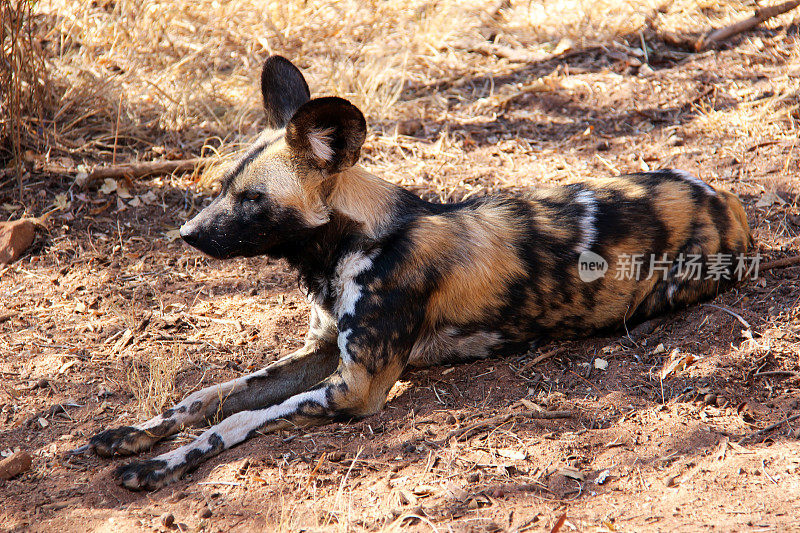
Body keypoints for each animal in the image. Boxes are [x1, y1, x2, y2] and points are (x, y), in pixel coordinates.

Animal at [87, 55, 756, 490]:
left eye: (253, 199)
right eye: (224, 186)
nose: (187, 234)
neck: (351, 245)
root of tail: (724, 197)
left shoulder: (353, 388)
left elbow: (236, 420)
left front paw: (159, 465)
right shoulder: (320, 354)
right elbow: (209, 396)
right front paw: (132, 436)